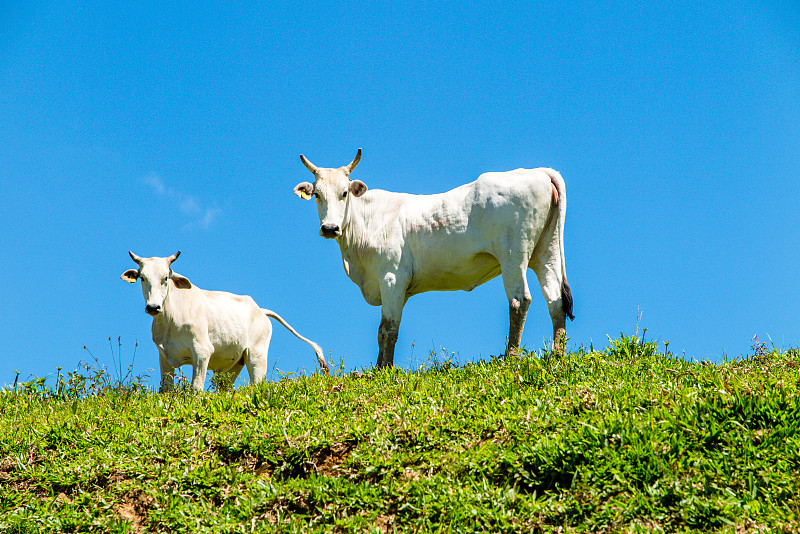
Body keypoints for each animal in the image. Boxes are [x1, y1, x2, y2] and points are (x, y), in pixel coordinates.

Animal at [122, 253, 328, 392]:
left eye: (166, 278)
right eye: (142, 278)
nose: (153, 307)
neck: (170, 319)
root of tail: (260, 310)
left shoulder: (202, 351)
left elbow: (196, 388)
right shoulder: (164, 356)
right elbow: (166, 389)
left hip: (257, 355)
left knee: (258, 383)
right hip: (233, 365)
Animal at [296, 151, 576, 368]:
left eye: (344, 193)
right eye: (317, 194)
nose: (330, 228)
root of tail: (538, 171)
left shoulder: (392, 278)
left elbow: (388, 330)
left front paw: (384, 371)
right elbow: (383, 331)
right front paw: (378, 369)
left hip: (513, 254)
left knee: (520, 301)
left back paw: (511, 357)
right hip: (546, 250)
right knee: (555, 300)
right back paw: (558, 355)